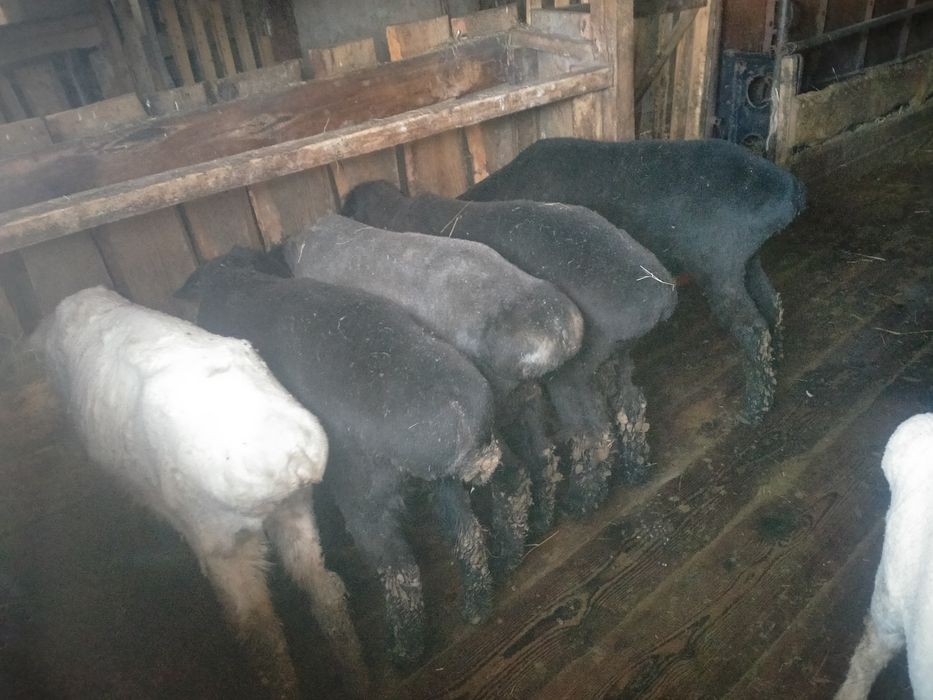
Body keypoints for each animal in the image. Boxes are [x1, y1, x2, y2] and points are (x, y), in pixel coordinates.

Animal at [35, 286, 364, 700]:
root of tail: (293, 458)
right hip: (293, 512)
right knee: (325, 588)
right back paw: (357, 676)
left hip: (221, 540)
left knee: (260, 632)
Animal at [177, 248, 502, 666]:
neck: (234, 282)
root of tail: (466, 429)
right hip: (444, 484)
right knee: (467, 536)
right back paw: (477, 608)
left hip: (365, 496)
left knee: (401, 571)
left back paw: (405, 654)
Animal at [278, 213, 584, 565]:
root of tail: (557, 331)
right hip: (523, 399)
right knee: (542, 456)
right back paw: (541, 522)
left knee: (513, 477)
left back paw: (507, 555)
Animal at [342, 182, 677, 524]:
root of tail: (658, 294)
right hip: (617, 356)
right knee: (631, 406)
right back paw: (636, 470)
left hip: (575, 371)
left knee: (593, 432)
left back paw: (582, 500)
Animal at [460, 137, 807, 424]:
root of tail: (789, 190)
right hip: (748, 259)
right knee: (771, 304)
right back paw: (777, 362)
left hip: (721, 264)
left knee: (752, 330)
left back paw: (755, 407)